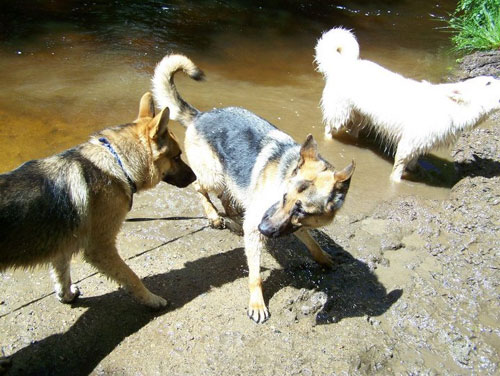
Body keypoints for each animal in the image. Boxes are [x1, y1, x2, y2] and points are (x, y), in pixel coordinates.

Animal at [316, 27, 500, 181]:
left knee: (354, 128)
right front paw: (396, 183)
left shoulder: (420, 142)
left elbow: (413, 161)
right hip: (339, 111)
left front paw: (417, 171)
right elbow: (399, 168)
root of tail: (344, 64)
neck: (452, 108)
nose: (497, 77)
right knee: (329, 128)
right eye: (488, 83)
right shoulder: (409, 142)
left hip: (361, 115)